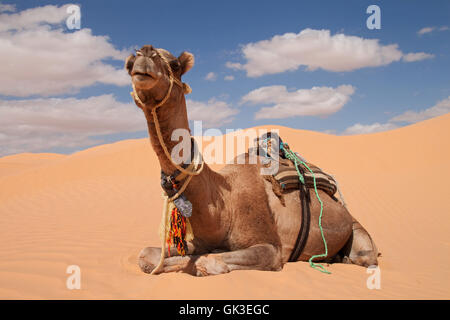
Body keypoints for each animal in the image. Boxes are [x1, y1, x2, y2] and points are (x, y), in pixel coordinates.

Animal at [125, 43, 378, 276]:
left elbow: (210, 262)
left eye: (175, 65)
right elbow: (146, 255)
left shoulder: (270, 248)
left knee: (365, 257)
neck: (225, 204)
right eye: (129, 64)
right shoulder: (200, 240)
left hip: (356, 231)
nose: (144, 53)